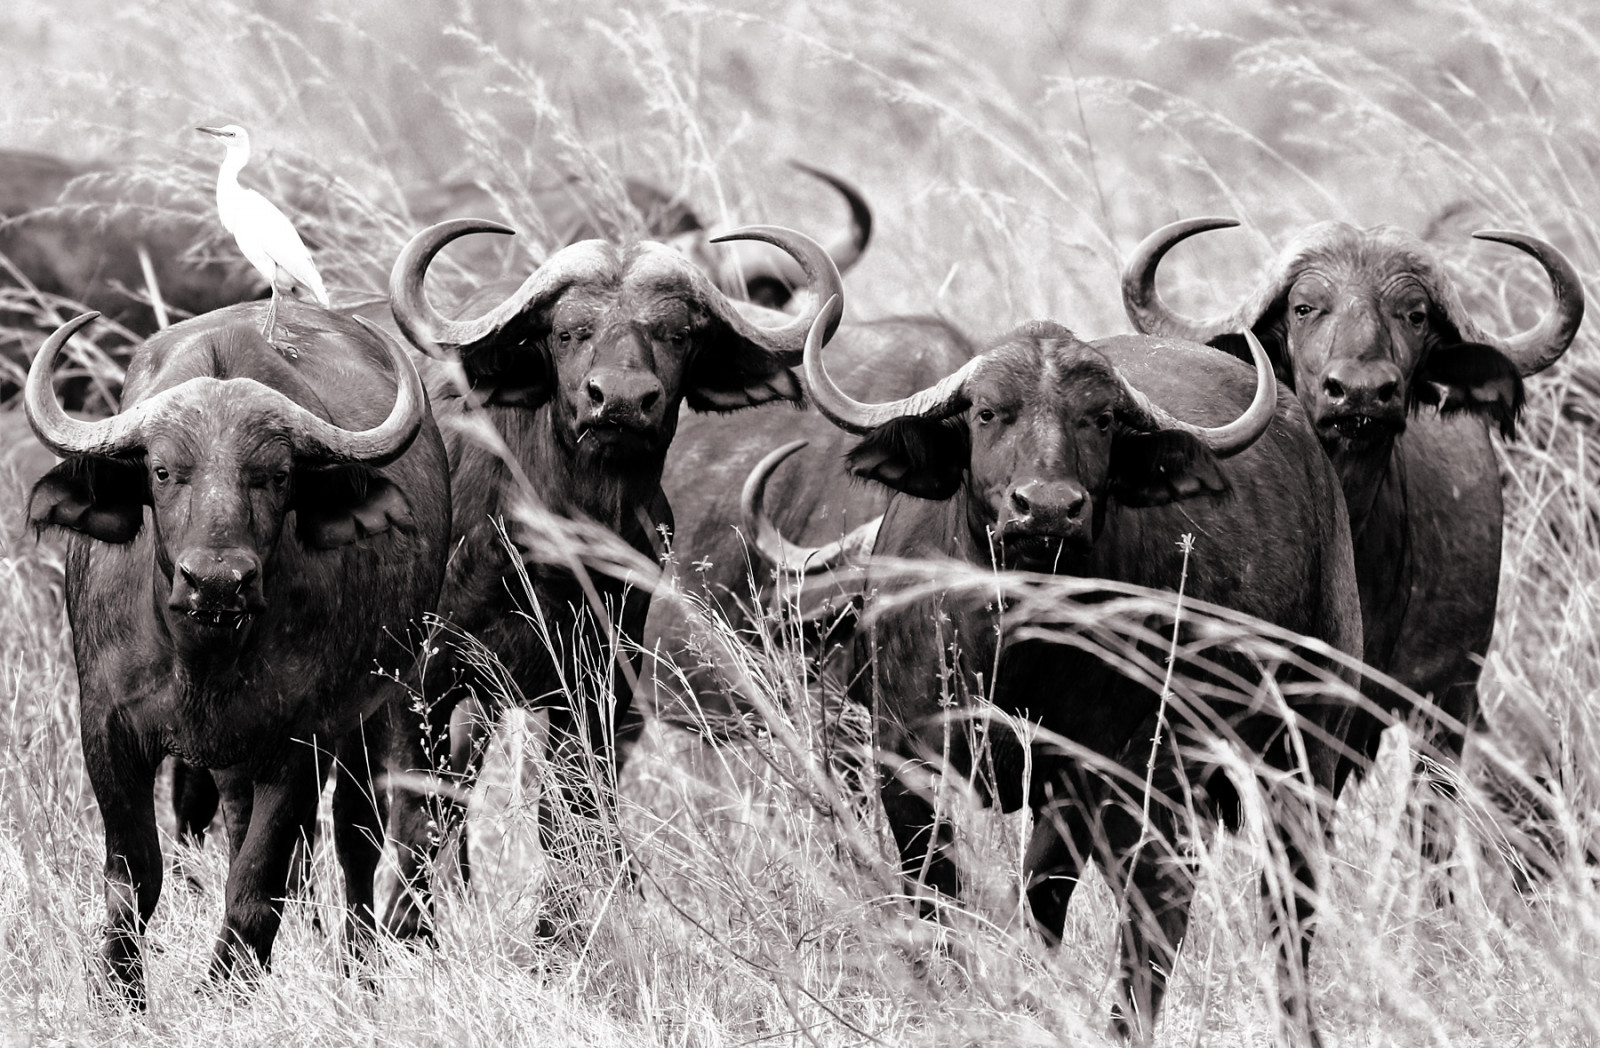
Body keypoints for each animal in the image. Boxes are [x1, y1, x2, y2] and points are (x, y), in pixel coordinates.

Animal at [24, 300, 450, 1006]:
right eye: (163, 471)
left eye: (276, 476)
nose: (218, 581)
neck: (202, 656)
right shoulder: (106, 726)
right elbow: (135, 874)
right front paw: (119, 992)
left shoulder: (301, 739)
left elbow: (259, 881)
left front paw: (227, 988)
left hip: (377, 704)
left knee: (357, 836)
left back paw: (360, 969)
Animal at [379, 218, 843, 940]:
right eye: (569, 330)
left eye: (678, 333)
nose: (620, 401)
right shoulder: (419, 682)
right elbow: (414, 818)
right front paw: (401, 933)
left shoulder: (601, 688)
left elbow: (574, 813)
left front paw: (564, 927)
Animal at [790, 296, 1361, 1042]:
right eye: (986, 412)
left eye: (1101, 419)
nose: (1048, 508)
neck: (1015, 645)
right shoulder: (905, 758)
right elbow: (936, 887)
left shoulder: (1098, 772)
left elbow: (1053, 894)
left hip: (1298, 751)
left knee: (1255, 903)